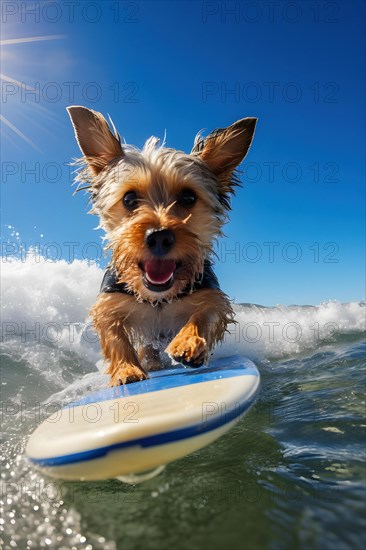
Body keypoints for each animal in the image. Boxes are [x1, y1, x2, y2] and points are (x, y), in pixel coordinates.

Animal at [68, 105, 258, 386]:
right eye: (129, 199)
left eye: (188, 197)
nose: (158, 236)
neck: (158, 298)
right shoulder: (110, 302)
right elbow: (113, 333)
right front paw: (126, 369)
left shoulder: (210, 295)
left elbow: (205, 314)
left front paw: (188, 343)